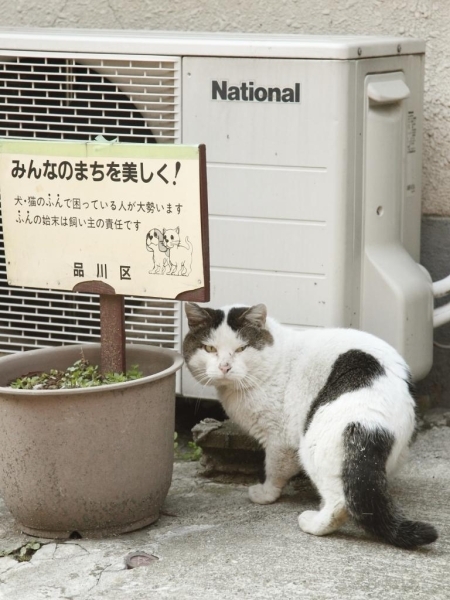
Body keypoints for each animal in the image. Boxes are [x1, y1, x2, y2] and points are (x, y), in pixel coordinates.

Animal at [182, 302, 436, 552]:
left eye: (241, 349)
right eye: (209, 349)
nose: (224, 367)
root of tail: (372, 424)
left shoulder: (279, 441)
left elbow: (274, 470)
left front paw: (265, 494)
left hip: (313, 444)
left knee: (340, 503)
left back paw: (313, 522)